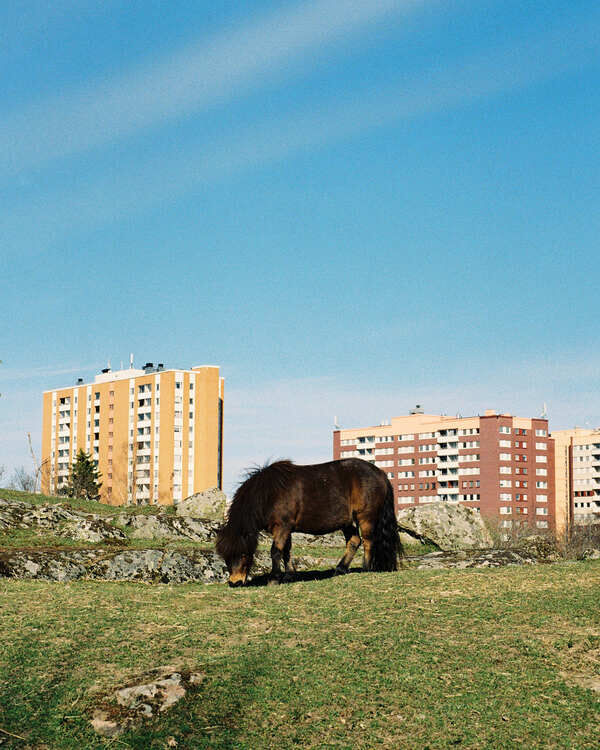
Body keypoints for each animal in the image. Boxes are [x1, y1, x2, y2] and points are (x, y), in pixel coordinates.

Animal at [216, 458, 402, 587]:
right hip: (346, 521)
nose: (235, 582)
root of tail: (381, 473)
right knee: (354, 541)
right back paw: (340, 569)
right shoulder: (286, 529)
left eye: (243, 554)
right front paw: (289, 576)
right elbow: (286, 551)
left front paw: (274, 578)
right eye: (225, 556)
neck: (269, 494)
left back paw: (366, 568)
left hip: (365, 516)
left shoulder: (282, 527)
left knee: (368, 541)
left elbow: (276, 551)